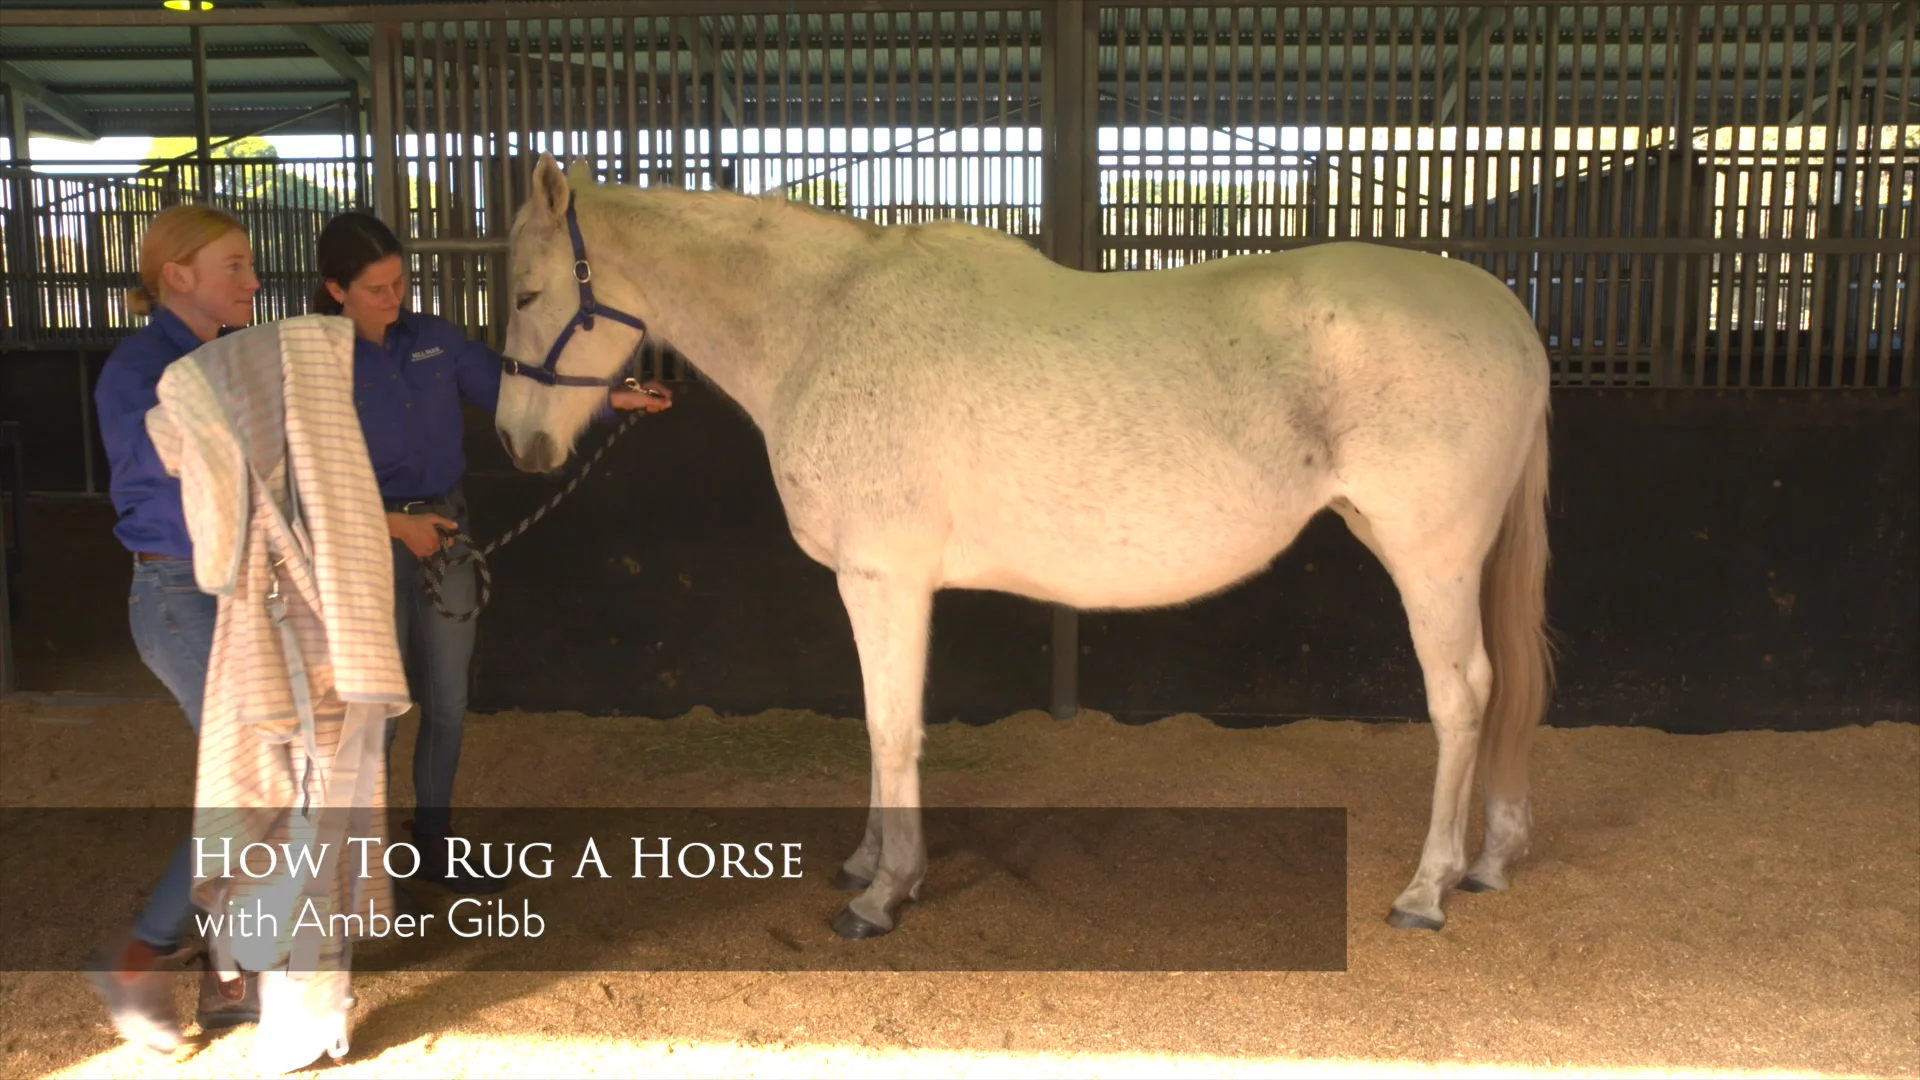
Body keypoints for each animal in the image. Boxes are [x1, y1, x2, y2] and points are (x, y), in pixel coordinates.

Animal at [493, 153, 1554, 937]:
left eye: (524, 294)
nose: (515, 443)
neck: (826, 324)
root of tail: (1506, 308)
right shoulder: (887, 584)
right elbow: (883, 724)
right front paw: (872, 865)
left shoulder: (881, 578)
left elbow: (890, 728)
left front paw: (884, 894)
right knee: (1497, 695)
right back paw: (1491, 861)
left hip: (1430, 555)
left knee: (1464, 698)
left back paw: (1426, 889)